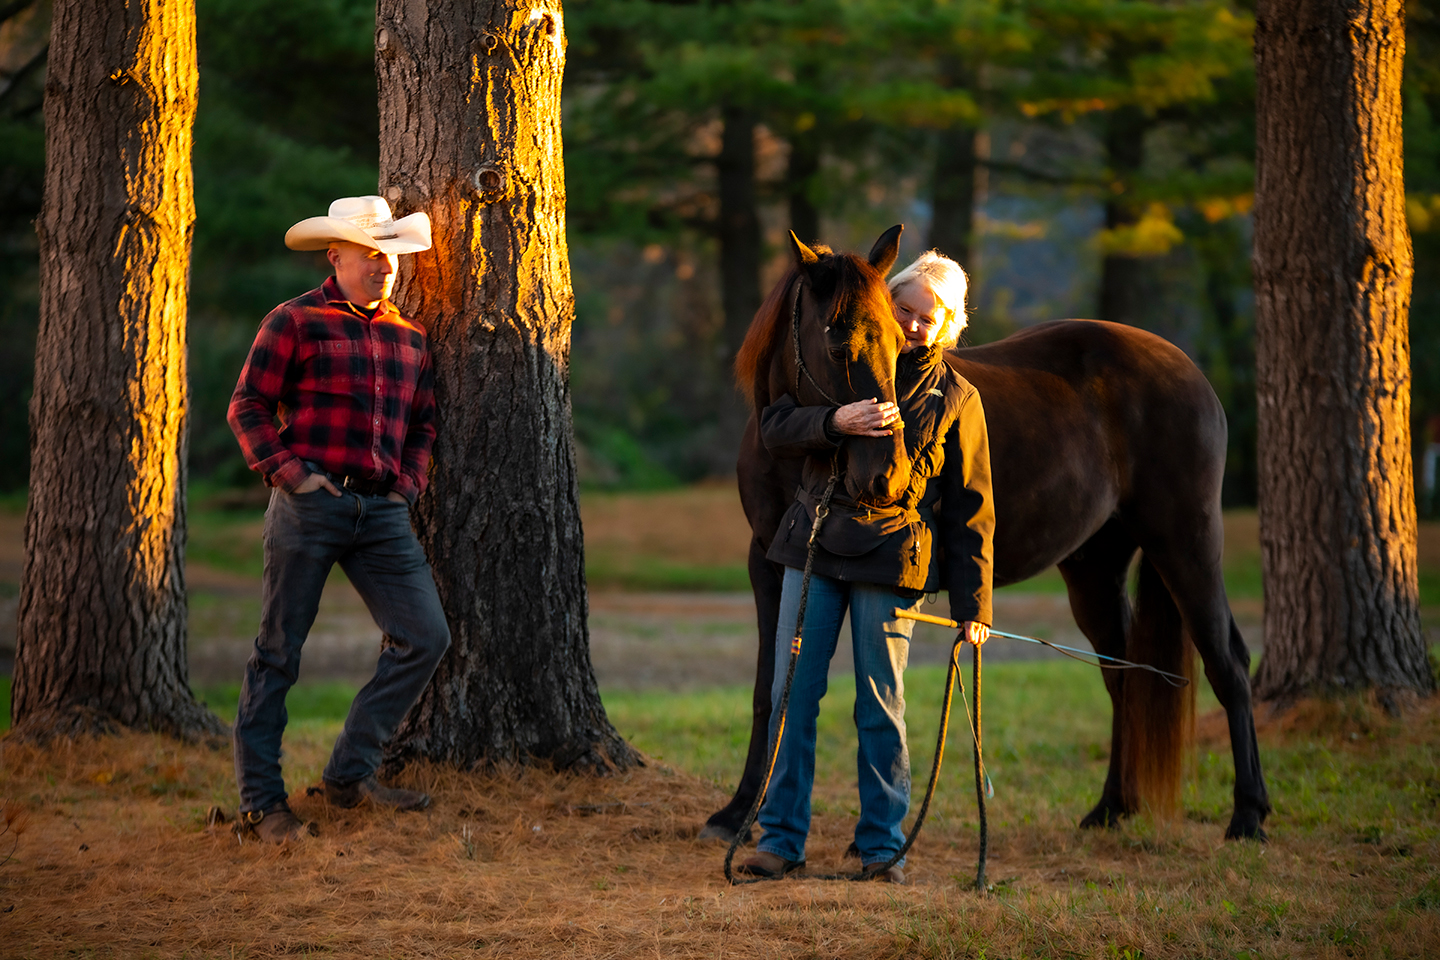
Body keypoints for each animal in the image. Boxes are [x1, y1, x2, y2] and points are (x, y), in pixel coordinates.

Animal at [708, 253, 1272, 840]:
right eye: (839, 345)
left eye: (897, 338)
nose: (883, 473)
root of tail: (1188, 371)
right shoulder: (770, 562)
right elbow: (770, 690)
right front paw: (739, 811)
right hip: (1095, 569)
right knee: (1125, 675)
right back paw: (1113, 806)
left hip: (1186, 544)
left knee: (1228, 664)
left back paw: (1248, 814)